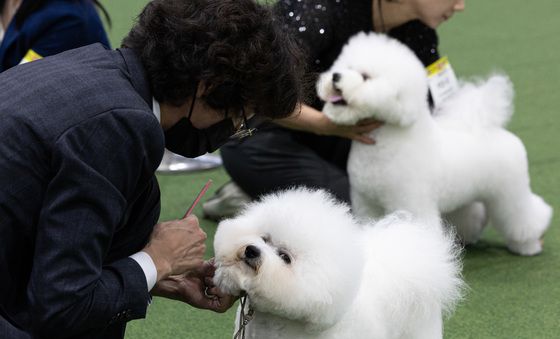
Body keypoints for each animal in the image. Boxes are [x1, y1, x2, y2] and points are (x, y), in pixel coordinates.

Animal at [318, 31, 552, 256]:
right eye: (346, 67)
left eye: (365, 76)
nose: (335, 76)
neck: (382, 146)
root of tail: (497, 131)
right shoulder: (367, 202)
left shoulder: (410, 201)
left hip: (510, 190)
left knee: (525, 216)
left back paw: (528, 246)